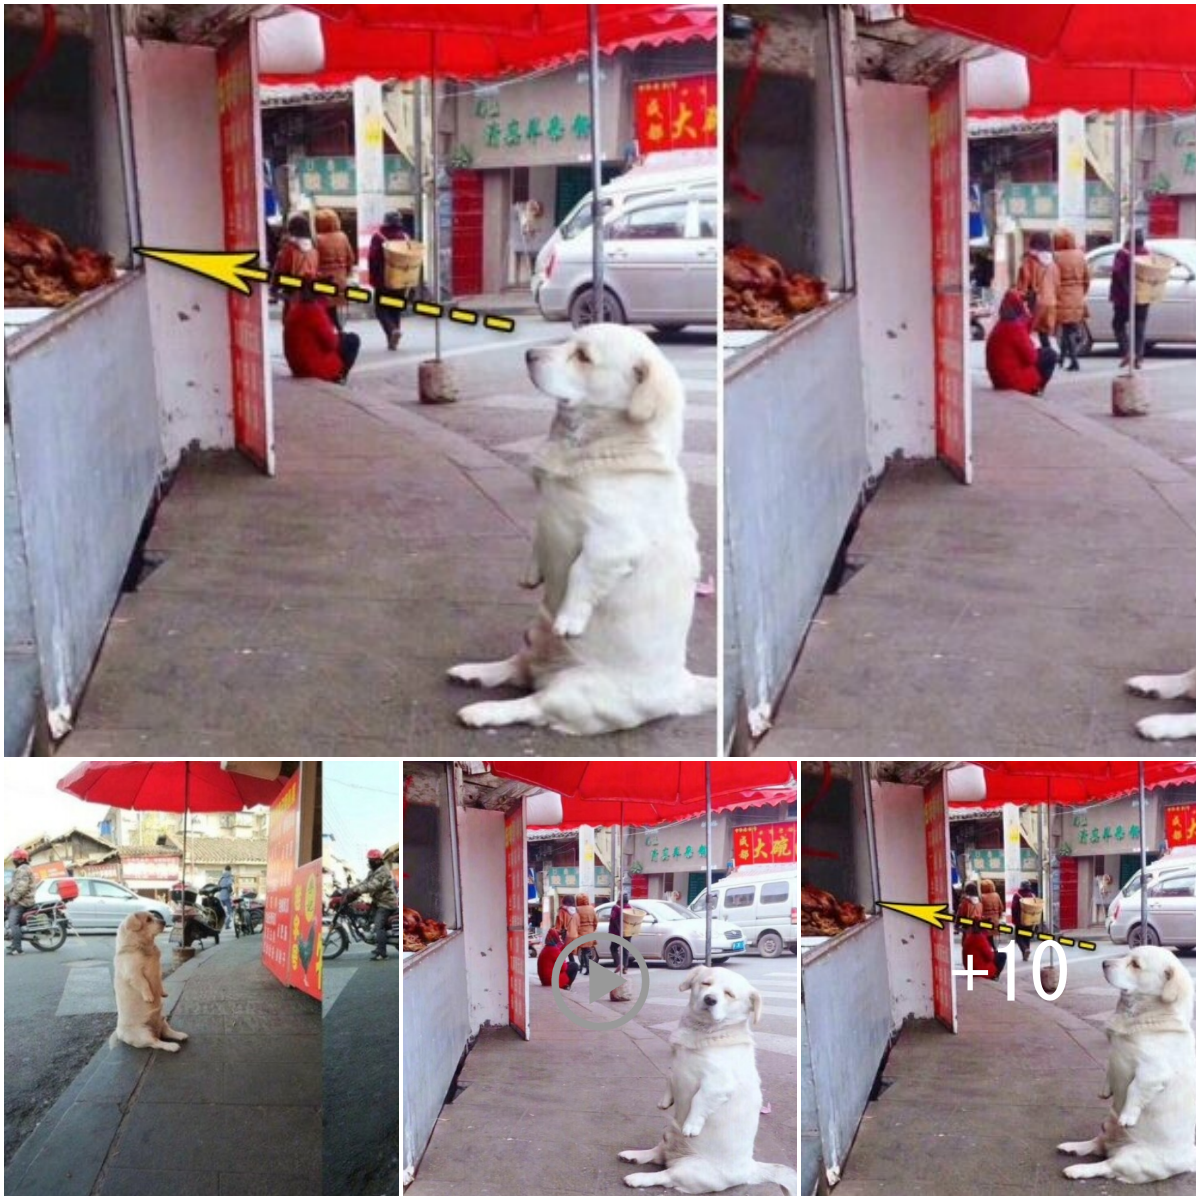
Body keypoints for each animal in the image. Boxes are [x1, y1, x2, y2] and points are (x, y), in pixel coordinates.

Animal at [109, 912, 188, 1056]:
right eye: (148, 920)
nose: (164, 921)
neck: (142, 946)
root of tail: (118, 1033)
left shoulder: (158, 971)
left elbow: (159, 983)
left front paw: (162, 993)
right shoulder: (134, 973)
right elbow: (144, 983)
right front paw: (149, 997)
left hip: (162, 1020)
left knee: (167, 1033)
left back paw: (179, 1035)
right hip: (143, 1033)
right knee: (156, 1043)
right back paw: (172, 1046)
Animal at [448, 326, 710, 729]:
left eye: (583, 356)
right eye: (568, 341)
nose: (528, 353)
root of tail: (683, 688)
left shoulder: (613, 541)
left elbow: (582, 573)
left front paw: (570, 618)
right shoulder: (546, 514)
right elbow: (538, 540)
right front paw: (530, 575)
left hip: (575, 689)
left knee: (532, 703)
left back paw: (483, 711)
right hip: (534, 633)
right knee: (517, 668)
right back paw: (474, 673)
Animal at [619, 969, 796, 1195]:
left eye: (729, 994)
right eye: (705, 983)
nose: (710, 999)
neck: (702, 1033)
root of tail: (750, 1169)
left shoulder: (717, 1084)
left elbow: (699, 1101)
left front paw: (691, 1125)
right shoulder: (675, 1064)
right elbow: (670, 1076)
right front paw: (665, 1101)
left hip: (689, 1170)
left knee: (664, 1175)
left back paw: (637, 1177)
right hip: (668, 1134)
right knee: (658, 1153)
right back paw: (634, 1155)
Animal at [1060, 950, 1190, 1185]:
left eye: (1135, 964)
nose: (1104, 963)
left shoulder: (1152, 1072)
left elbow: (1135, 1089)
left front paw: (1128, 1116)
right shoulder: (1113, 1056)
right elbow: (1109, 1070)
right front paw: (1105, 1091)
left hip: (1131, 1157)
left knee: (1106, 1165)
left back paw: (1077, 1169)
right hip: (1107, 1125)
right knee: (1097, 1144)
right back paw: (1072, 1147)